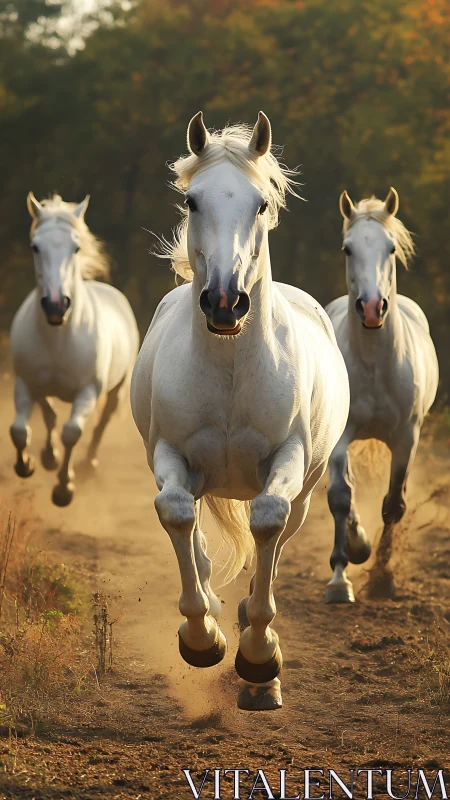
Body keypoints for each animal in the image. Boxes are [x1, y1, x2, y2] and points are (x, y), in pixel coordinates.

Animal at [10, 193, 139, 506]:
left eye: (76, 247)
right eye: (35, 247)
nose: (56, 305)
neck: (60, 337)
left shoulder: (87, 392)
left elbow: (72, 432)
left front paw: (63, 489)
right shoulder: (27, 383)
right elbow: (22, 429)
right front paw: (31, 463)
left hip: (116, 391)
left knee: (101, 423)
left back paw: (88, 464)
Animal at [131, 111, 350, 710]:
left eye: (260, 203)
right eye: (192, 201)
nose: (225, 302)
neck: (230, 370)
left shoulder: (286, 462)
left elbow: (266, 528)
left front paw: (258, 658)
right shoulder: (171, 457)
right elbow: (176, 515)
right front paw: (201, 638)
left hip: (304, 491)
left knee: (270, 542)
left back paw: (260, 680)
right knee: (195, 537)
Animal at [325, 188, 439, 603]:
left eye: (390, 248)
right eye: (347, 248)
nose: (372, 307)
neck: (375, 365)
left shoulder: (407, 438)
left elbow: (394, 505)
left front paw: (383, 580)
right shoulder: (341, 437)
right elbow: (340, 497)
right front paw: (340, 579)